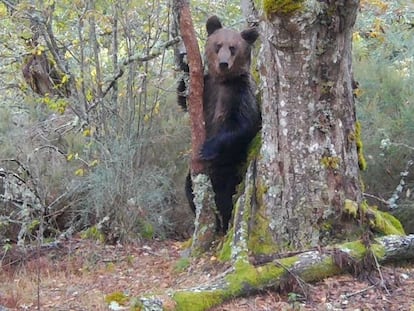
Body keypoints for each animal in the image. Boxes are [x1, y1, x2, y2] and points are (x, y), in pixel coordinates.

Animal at [184, 15, 260, 233]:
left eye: (233, 47)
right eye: (218, 45)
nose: (224, 63)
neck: (223, 81)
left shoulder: (240, 93)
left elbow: (244, 124)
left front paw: (207, 148)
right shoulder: (207, 89)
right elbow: (184, 100)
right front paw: (184, 64)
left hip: (232, 167)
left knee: (228, 196)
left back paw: (223, 224)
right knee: (189, 188)